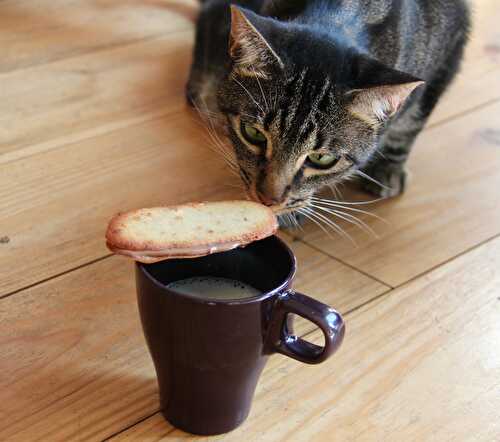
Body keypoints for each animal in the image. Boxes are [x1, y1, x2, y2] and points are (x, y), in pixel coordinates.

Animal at [186, 0, 470, 218]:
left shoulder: (447, 53)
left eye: (322, 158)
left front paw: (389, 167)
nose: (268, 200)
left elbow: (409, 124)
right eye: (253, 133)